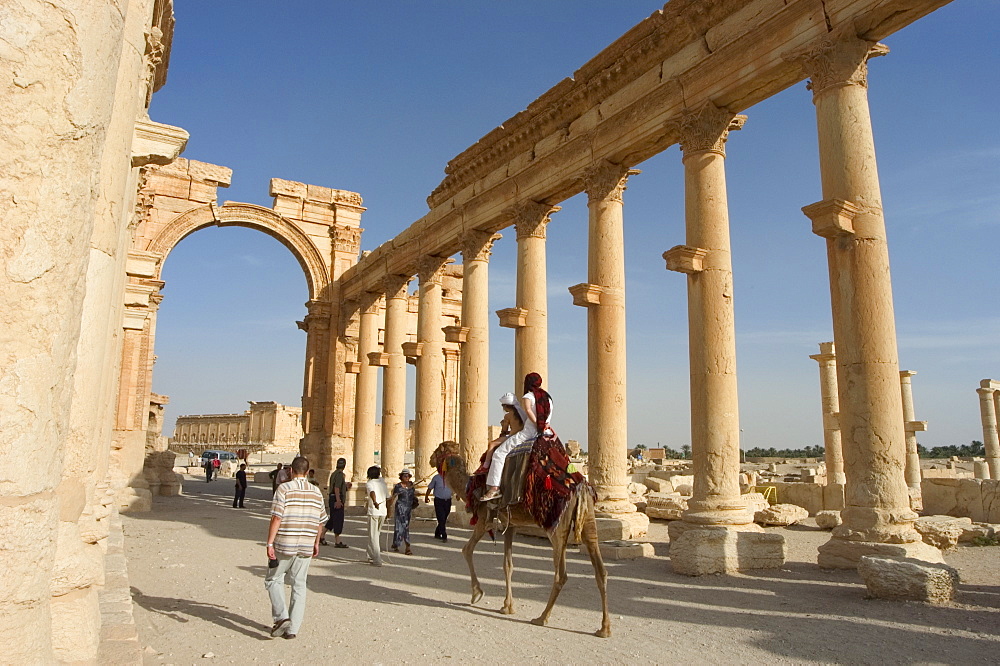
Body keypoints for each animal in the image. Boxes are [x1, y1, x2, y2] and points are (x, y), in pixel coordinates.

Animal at [428, 438, 608, 636]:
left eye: (438, 450)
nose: (430, 459)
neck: (469, 488)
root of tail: (581, 488)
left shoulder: (484, 519)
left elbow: (466, 550)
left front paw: (477, 594)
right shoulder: (510, 524)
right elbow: (508, 565)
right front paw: (507, 606)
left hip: (557, 527)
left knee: (561, 575)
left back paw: (541, 618)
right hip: (589, 521)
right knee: (601, 570)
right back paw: (604, 628)